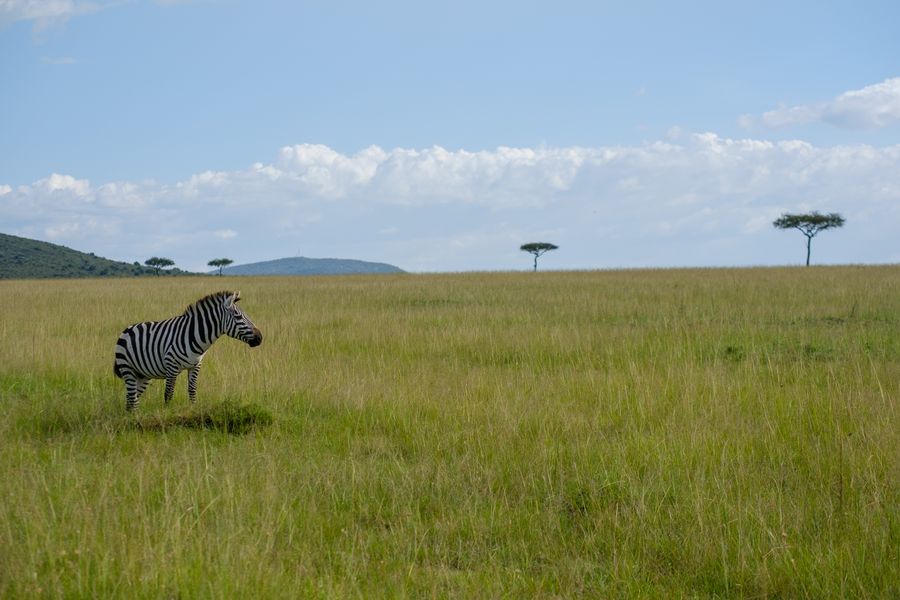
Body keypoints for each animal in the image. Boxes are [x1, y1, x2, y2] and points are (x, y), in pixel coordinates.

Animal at [114, 290, 263, 411]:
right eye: (239, 317)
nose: (260, 338)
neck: (194, 335)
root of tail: (126, 329)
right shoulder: (171, 365)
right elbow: (169, 392)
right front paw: (167, 412)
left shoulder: (196, 365)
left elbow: (192, 389)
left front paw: (193, 409)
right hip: (127, 369)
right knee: (132, 397)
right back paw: (135, 417)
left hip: (142, 375)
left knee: (132, 398)